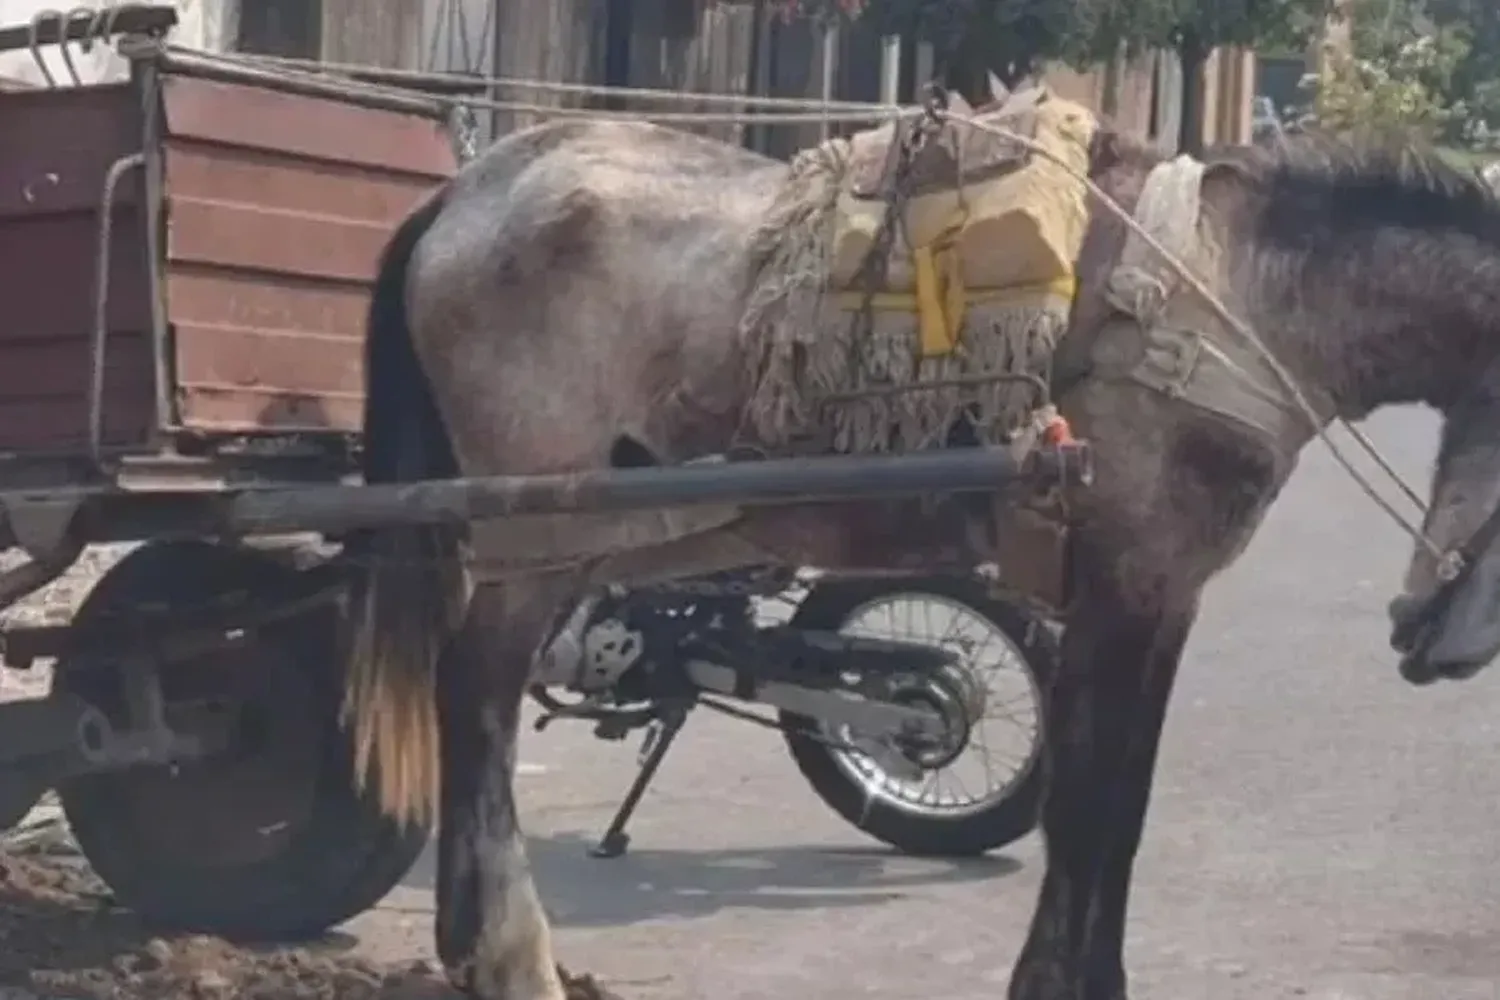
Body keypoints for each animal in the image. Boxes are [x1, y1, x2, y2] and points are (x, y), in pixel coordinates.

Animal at [343, 109, 1500, 1000]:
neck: (1238, 298)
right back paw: (508, 954)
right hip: (534, 531)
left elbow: (1117, 808)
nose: (1430, 640)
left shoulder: (1162, 595)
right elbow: (1090, 809)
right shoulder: (1122, 583)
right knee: (476, 700)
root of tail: (465, 194)